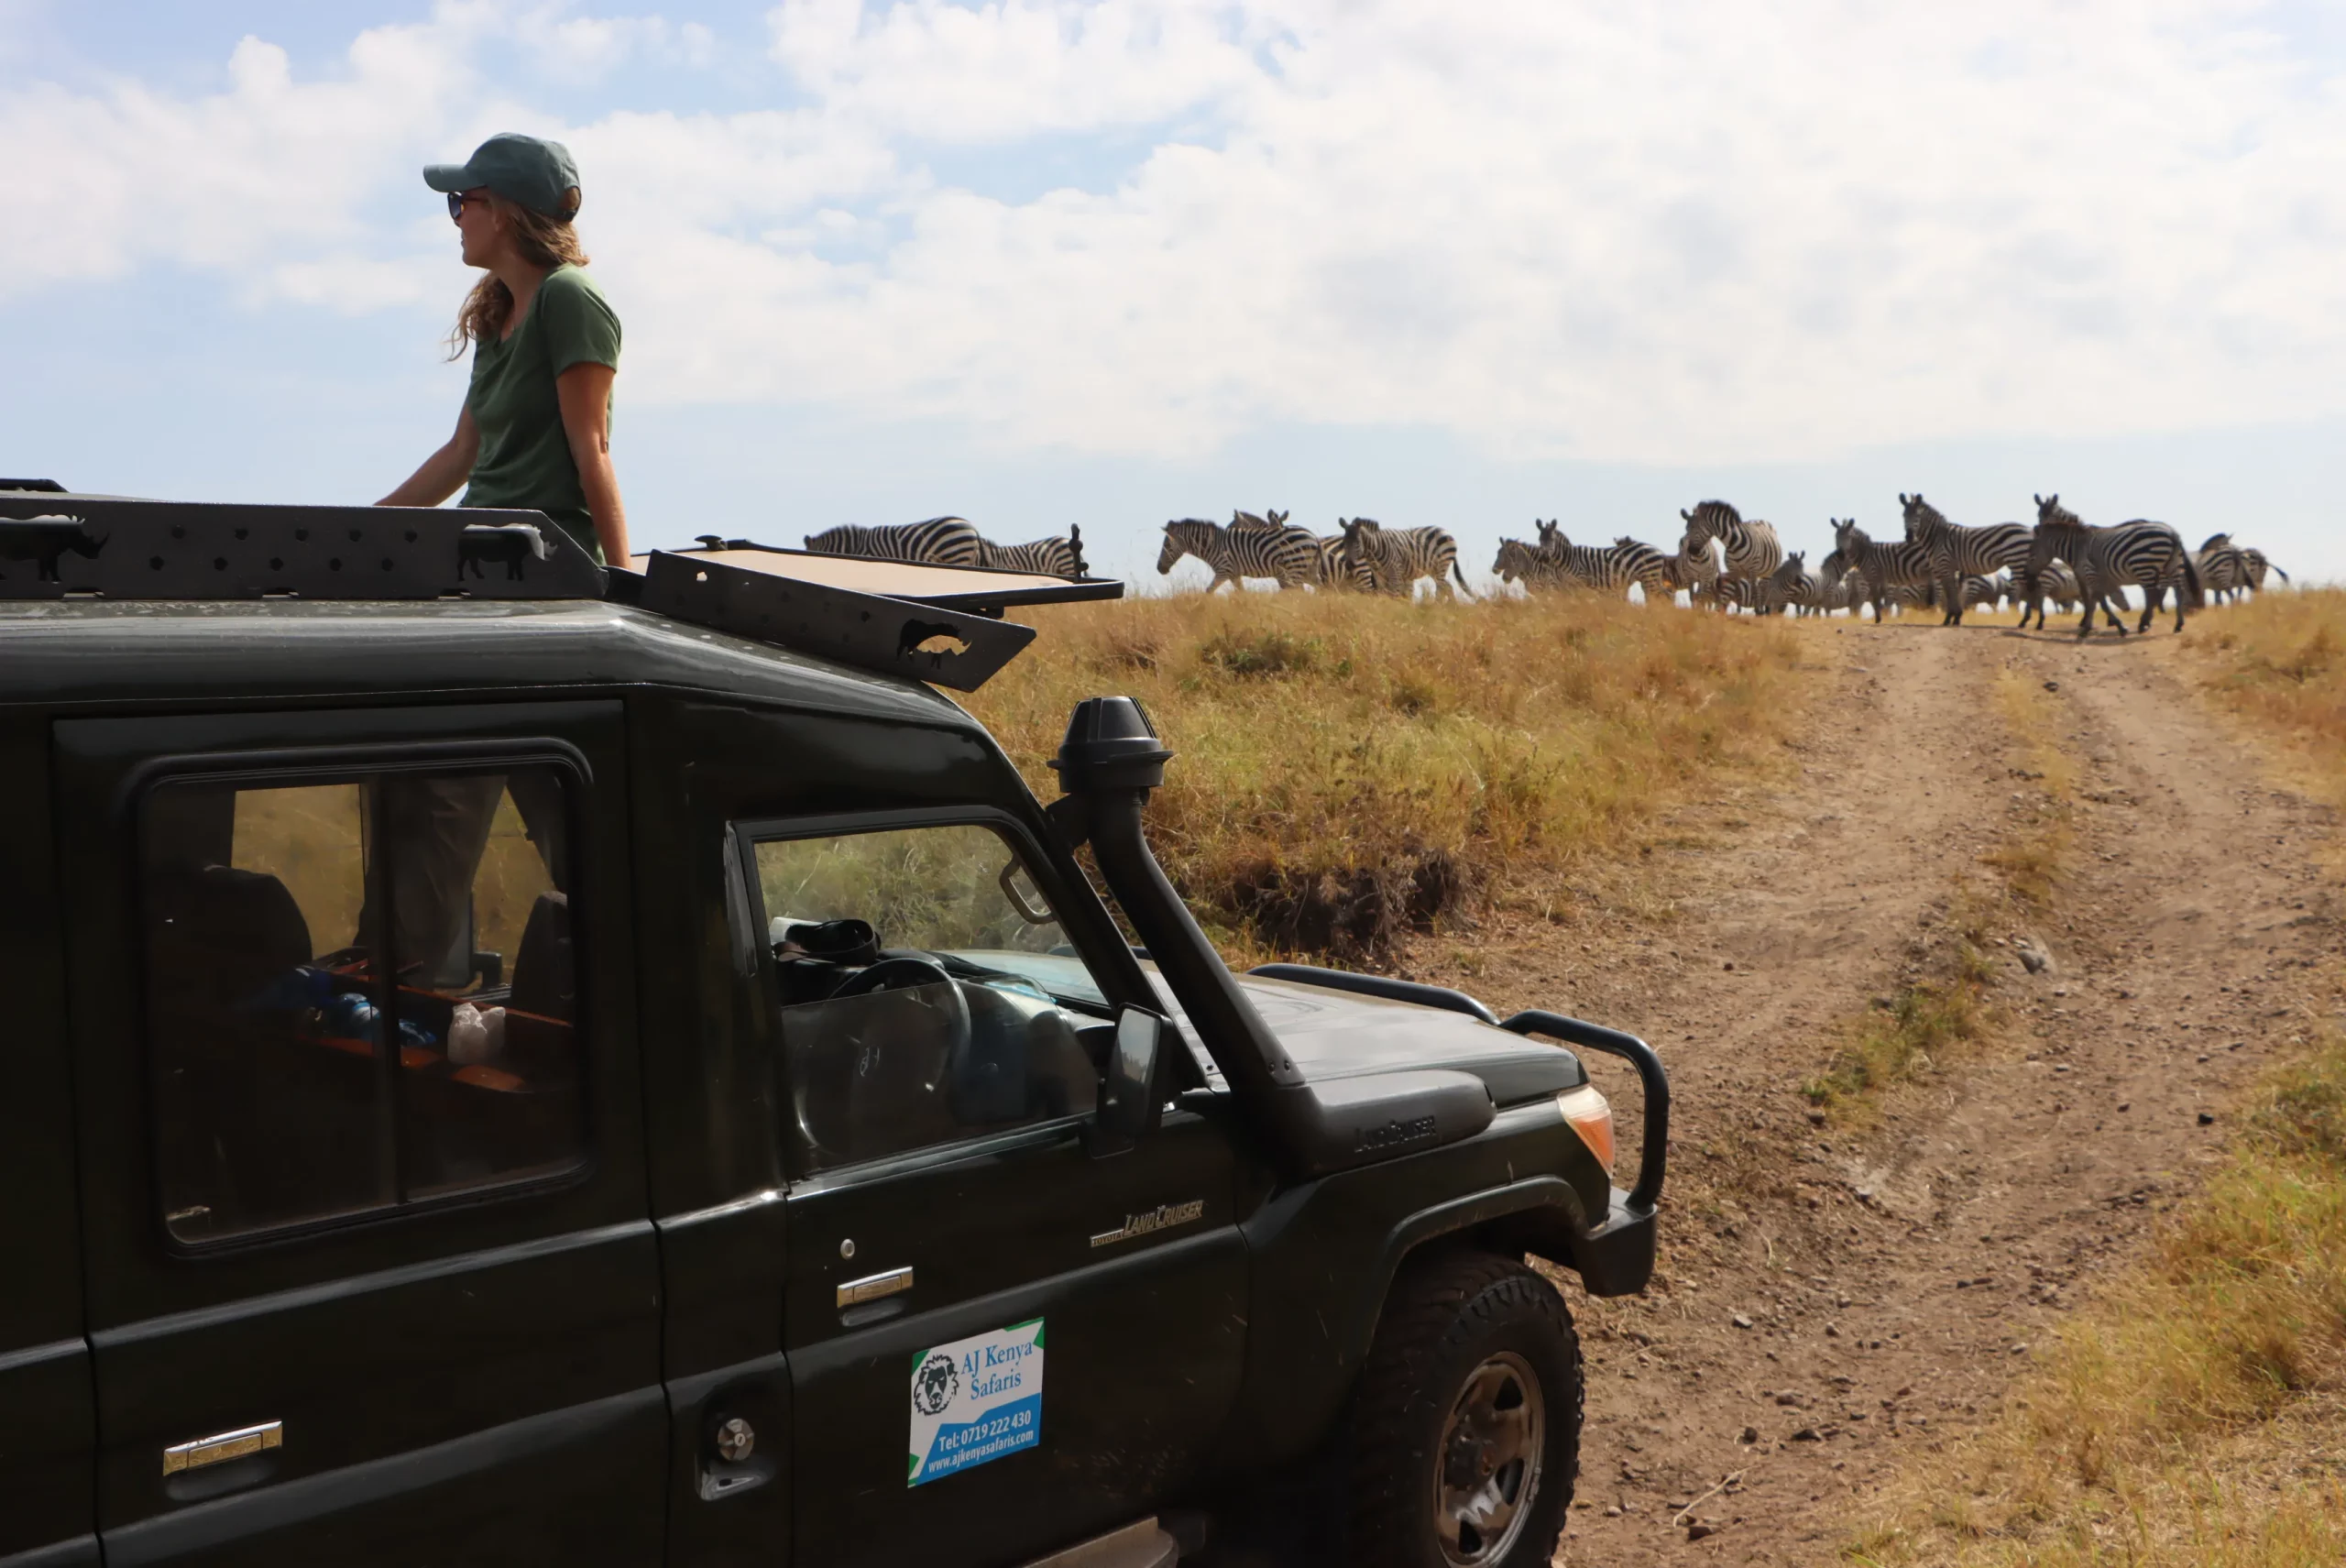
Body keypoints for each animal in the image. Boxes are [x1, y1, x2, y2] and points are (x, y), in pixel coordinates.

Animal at [1154, 516, 1322, 591]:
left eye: (1166, 545)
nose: (1159, 569)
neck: (1213, 546)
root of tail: (1312, 536)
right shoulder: (1234, 574)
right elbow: (1241, 594)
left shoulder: (1224, 570)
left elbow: (1208, 591)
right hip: (1306, 569)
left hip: (1295, 567)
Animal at [1342, 523, 1464, 605]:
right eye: (1344, 543)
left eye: (1357, 543)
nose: (1349, 565)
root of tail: (1445, 531)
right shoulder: (1380, 576)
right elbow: (1384, 595)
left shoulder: (1395, 572)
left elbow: (1394, 595)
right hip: (1434, 569)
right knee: (1447, 586)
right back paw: (1451, 607)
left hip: (1441, 564)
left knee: (1441, 588)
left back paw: (1438, 606)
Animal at [1886, 495, 2036, 629]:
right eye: (1904, 516)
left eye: (1917, 516)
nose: (1909, 537)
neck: (1937, 538)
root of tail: (2029, 530)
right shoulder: (1950, 569)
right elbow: (1954, 592)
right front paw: (1956, 618)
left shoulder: (1944, 566)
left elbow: (1950, 592)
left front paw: (1949, 619)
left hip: (2017, 560)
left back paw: (2025, 620)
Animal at [2026, 492, 2205, 633]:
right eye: (2038, 515)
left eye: (2052, 515)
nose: (2037, 528)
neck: (2077, 545)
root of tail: (2172, 532)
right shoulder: (2096, 576)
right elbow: (2097, 599)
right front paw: (2098, 623)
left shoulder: (2088, 573)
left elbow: (2094, 599)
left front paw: (2095, 624)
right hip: (2172, 565)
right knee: (2176, 591)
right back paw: (2176, 624)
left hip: (2144, 565)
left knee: (2153, 593)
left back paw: (2144, 623)